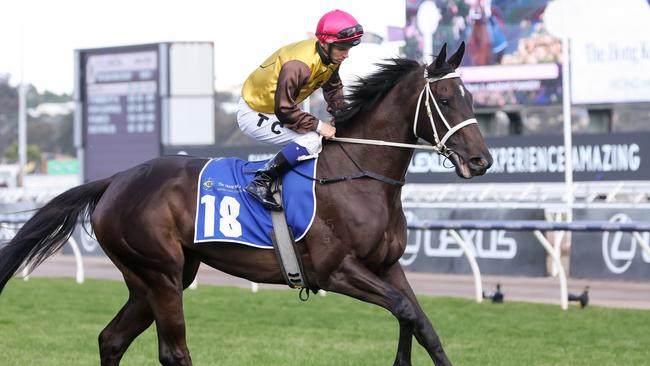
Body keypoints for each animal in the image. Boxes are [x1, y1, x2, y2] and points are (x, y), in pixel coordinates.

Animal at [0, 43, 488, 366]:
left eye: (471, 98)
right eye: (446, 100)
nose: (482, 161)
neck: (360, 174)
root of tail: (116, 179)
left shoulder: (387, 266)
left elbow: (420, 322)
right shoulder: (336, 271)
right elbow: (405, 311)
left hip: (156, 276)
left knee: (111, 339)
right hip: (159, 272)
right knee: (173, 351)